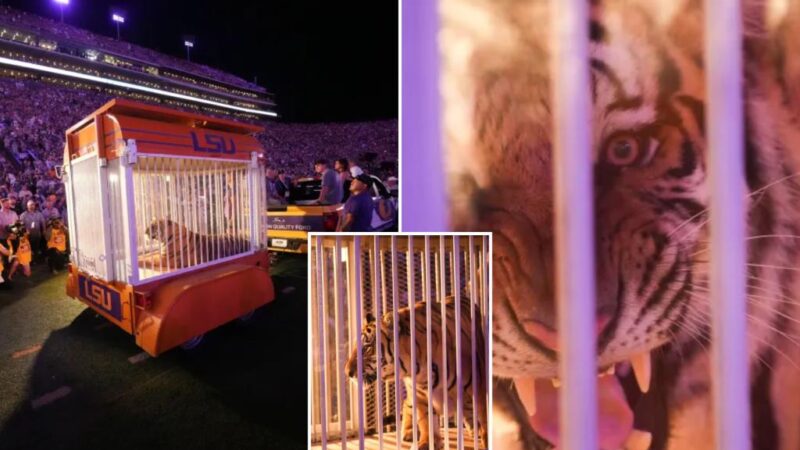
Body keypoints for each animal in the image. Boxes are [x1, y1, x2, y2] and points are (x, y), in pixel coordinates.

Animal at [344, 298, 488, 450]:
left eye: (367, 347)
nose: (347, 372)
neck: (418, 369)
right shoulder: (419, 394)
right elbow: (426, 420)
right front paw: (427, 443)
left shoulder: (479, 389)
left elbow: (485, 418)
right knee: (407, 404)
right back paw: (409, 432)